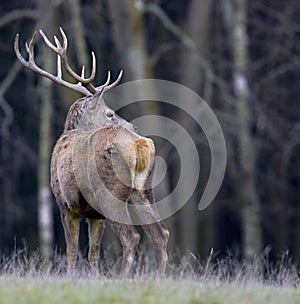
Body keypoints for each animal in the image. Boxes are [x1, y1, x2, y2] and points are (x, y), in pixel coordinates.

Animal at [14, 27, 169, 276]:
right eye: (109, 113)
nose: (133, 127)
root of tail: (140, 145)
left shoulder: (66, 204)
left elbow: (72, 250)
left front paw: (69, 276)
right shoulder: (96, 217)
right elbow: (93, 253)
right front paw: (95, 277)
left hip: (110, 193)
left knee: (132, 237)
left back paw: (123, 278)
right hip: (143, 191)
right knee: (161, 233)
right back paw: (159, 276)